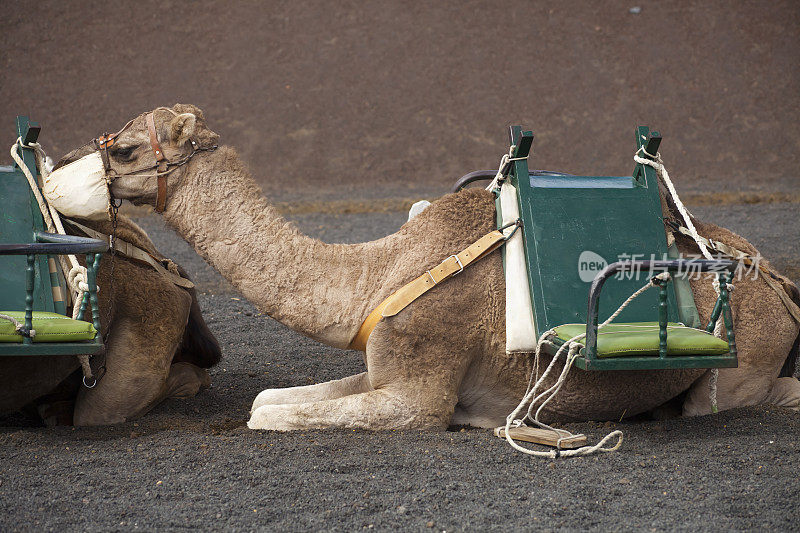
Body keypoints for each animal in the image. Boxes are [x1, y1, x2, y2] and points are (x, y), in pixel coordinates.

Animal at [57, 102, 800, 430]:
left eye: (123, 150)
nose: (59, 165)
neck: (374, 277)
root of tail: (779, 283)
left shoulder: (419, 390)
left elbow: (271, 418)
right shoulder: (384, 364)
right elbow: (271, 401)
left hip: (742, 364)